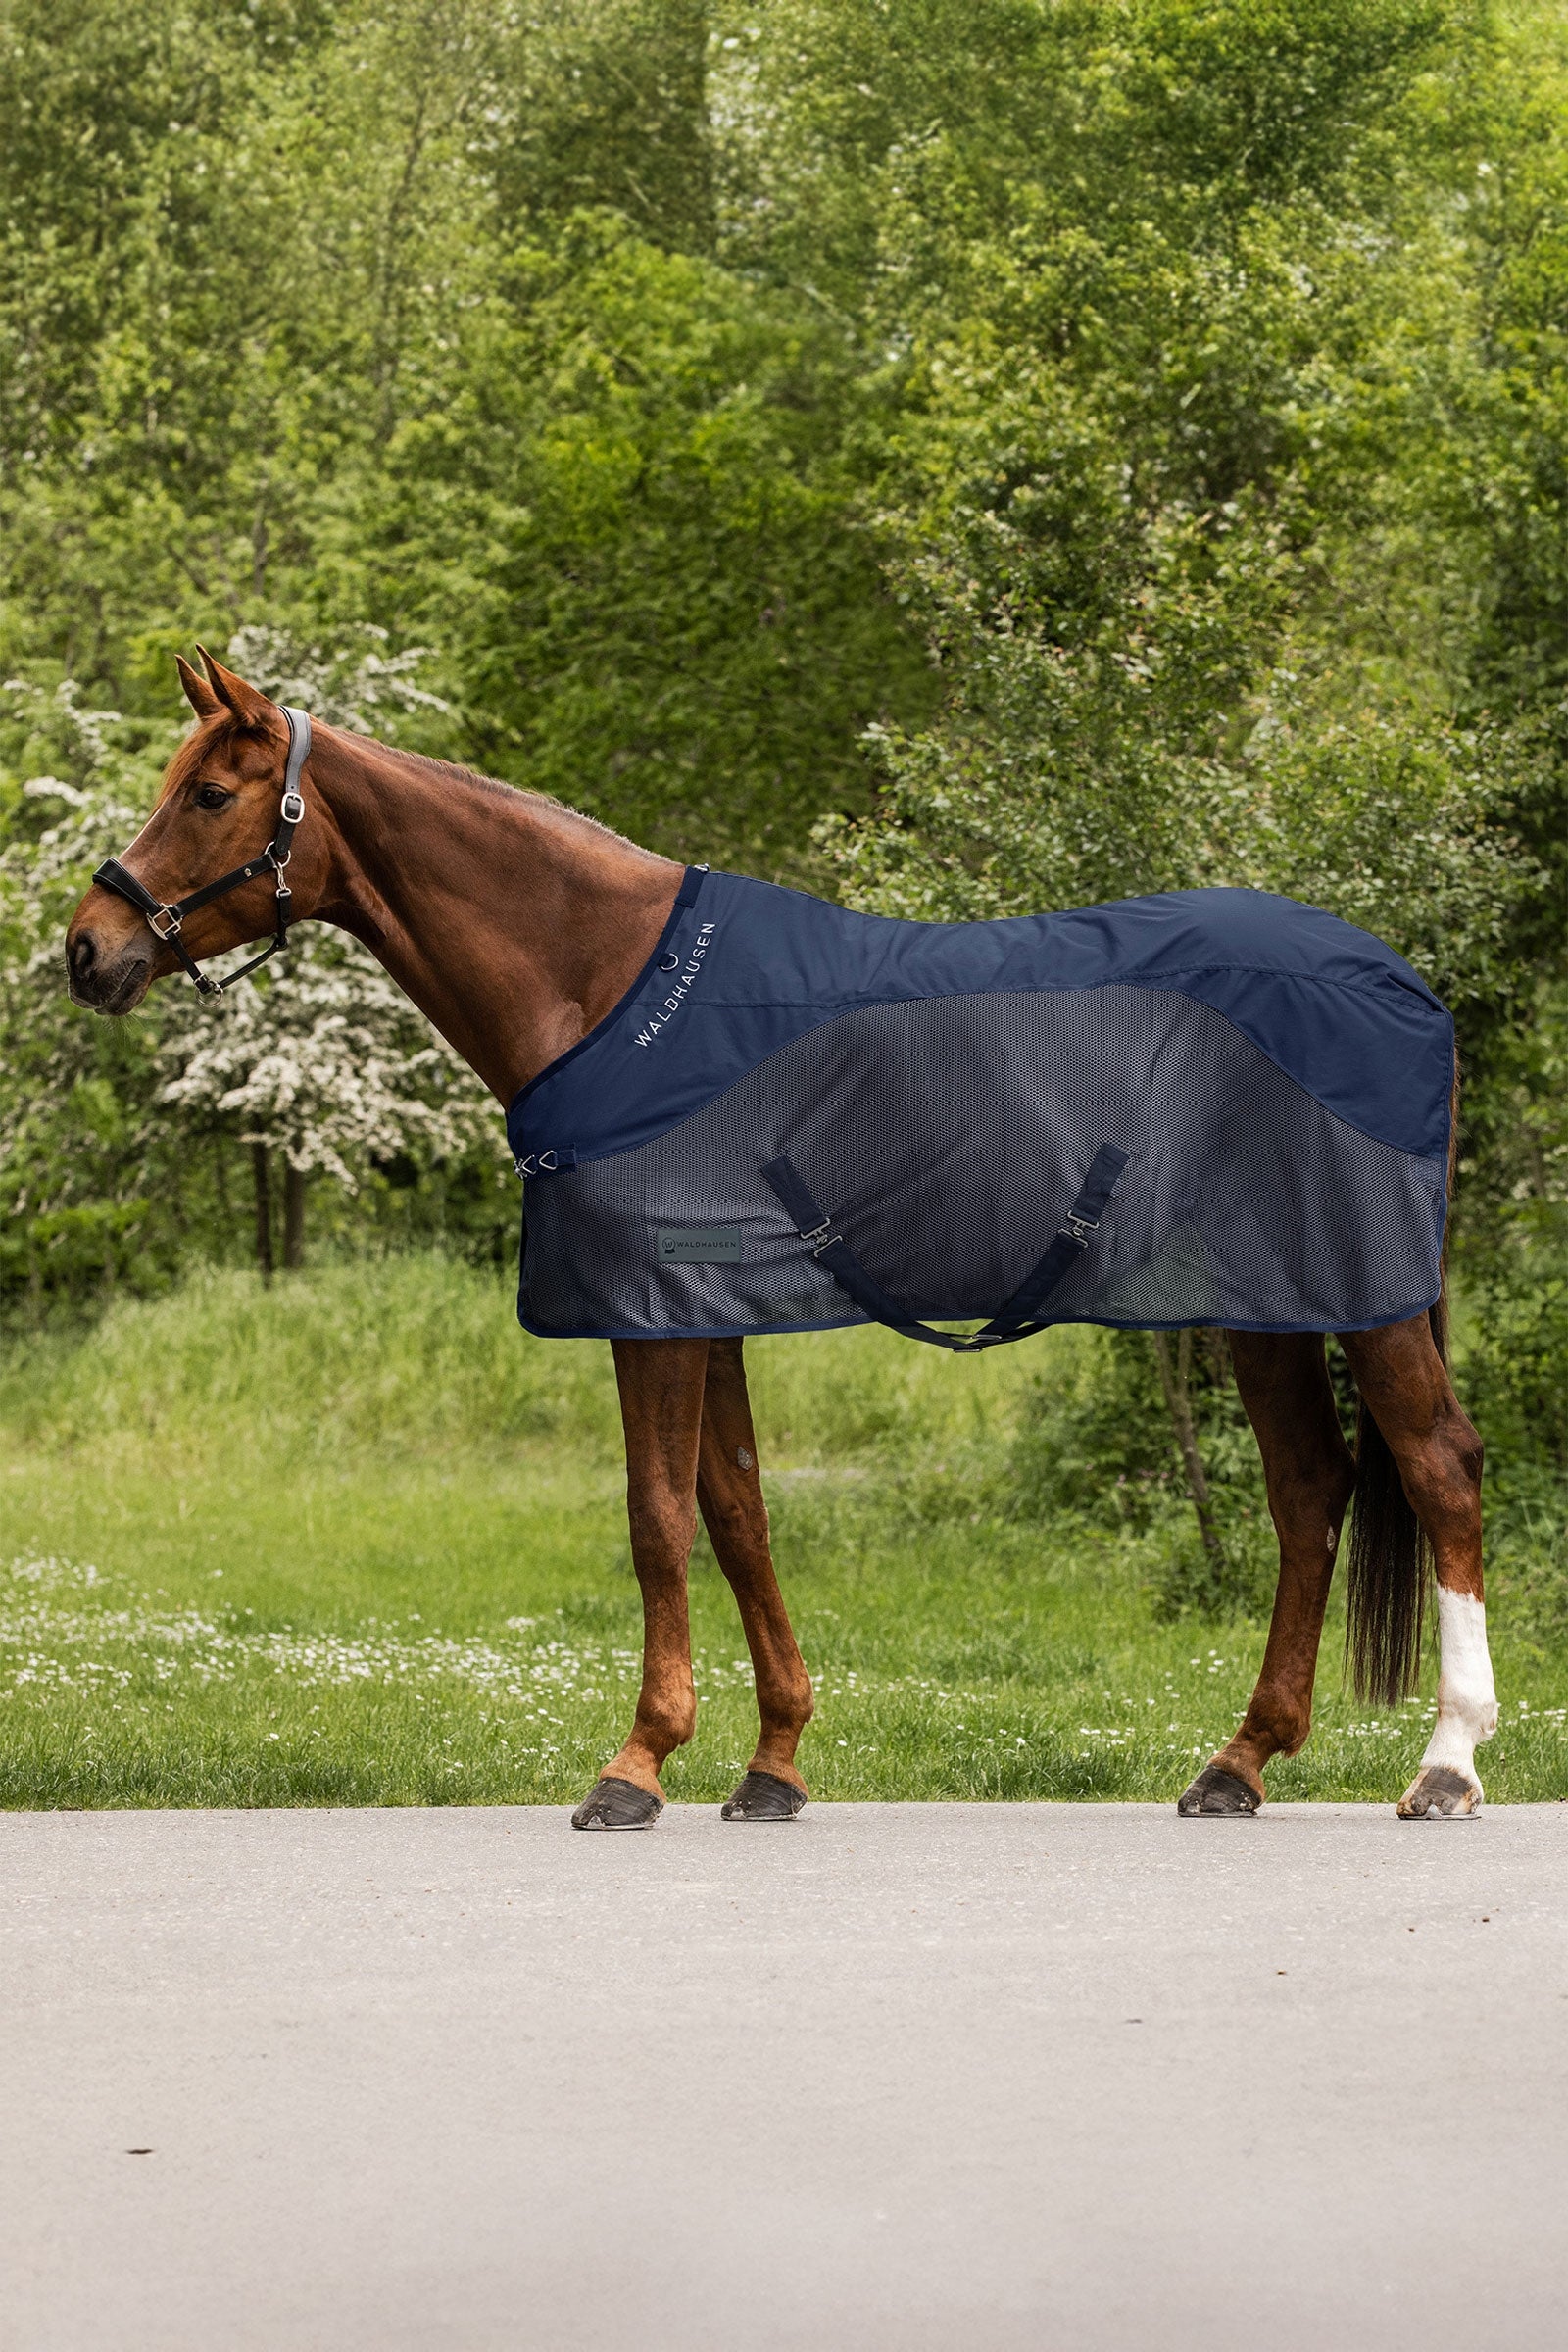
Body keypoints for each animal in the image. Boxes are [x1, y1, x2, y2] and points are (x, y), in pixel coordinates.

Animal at [64, 649, 1498, 1826]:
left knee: (1437, 1469)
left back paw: (1446, 1764)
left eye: (210, 795)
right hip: (1264, 1305)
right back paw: (1237, 1763)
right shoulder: (706, 1315)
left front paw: (636, 1765)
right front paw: (773, 1763)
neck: (607, 986)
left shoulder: (647, 1314)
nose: (88, 949)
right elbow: (738, 1511)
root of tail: (1400, 982)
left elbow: (655, 1518)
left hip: (1360, 1301)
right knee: (1310, 1490)